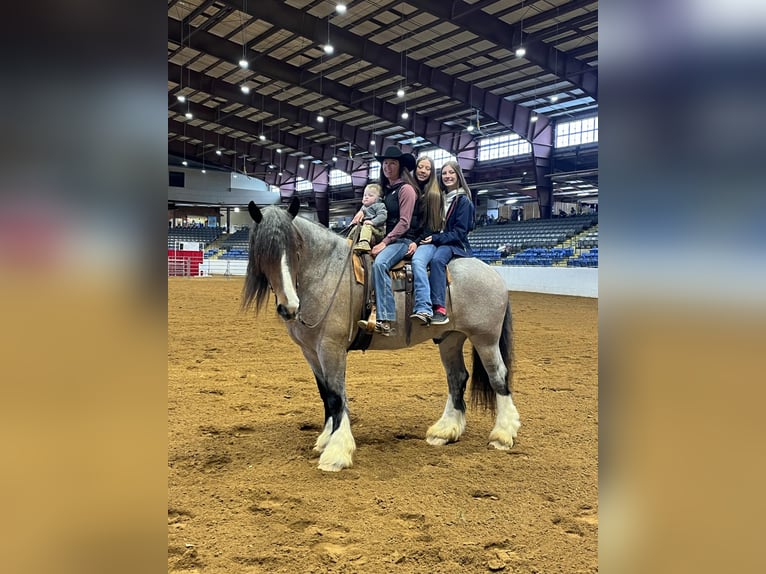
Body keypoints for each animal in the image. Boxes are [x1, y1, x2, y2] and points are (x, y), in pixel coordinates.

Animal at [246, 198, 520, 472]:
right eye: (262, 253)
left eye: (296, 248)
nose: (289, 307)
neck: (327, 272)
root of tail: (492, 273)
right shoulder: (311, 352)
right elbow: (326, 394)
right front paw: (326, 439)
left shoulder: (331, 348)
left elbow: (337, 396)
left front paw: (337, 451)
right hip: (450, 339)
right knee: (457, 378)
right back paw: (445, 431)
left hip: (485, 339)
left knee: (498, 377)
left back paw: (503, 434)